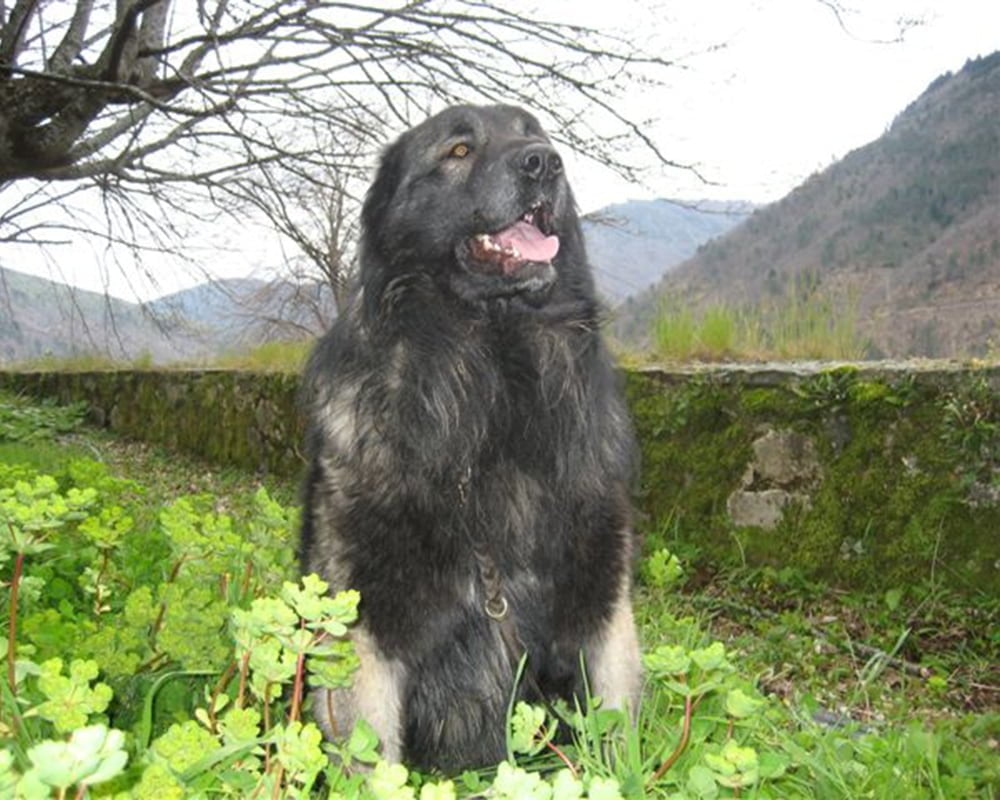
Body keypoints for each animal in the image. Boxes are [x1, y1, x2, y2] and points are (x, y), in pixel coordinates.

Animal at [298, 103, 640, 772]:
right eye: (458, 150)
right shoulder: (368, 631)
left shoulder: (601, 606)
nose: (545, 163)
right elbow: (374, 765)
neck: (494, 376)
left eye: (536, 134)